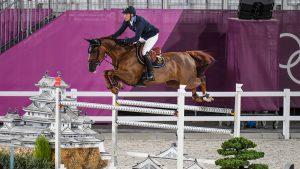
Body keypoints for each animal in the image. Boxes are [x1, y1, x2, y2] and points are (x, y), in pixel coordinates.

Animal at [86, 37, 216, 102]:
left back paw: (206, 96)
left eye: (94, 51)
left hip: (187, 80)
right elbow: (108, 72)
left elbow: (109, 72)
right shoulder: (124, 75)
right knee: (195, 84)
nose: (90, 68)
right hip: (174, 83)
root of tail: (187, 55)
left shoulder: (131, 77)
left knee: (201, 79)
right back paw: (197, 97)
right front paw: (115, 86)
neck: (123, 54)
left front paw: (114, 87)